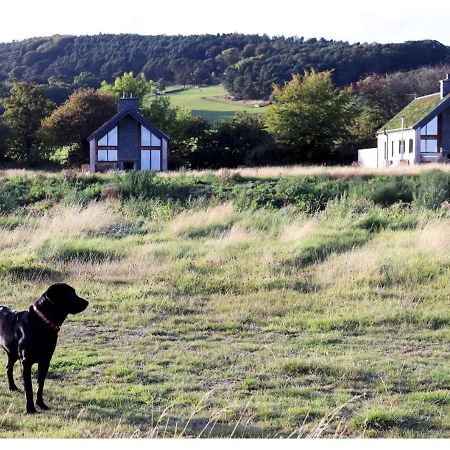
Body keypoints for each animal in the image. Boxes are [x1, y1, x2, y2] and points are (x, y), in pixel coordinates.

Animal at [0, 284, 87, 414]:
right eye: (71, 294)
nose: (86, 302)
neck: (42, 324)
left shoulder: (45, 360)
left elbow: (40, 385)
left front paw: (41, 404)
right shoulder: (26, 362)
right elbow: (29, 388)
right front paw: (30, 409)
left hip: (13, 353)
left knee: (8, 368)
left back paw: (13, 388)